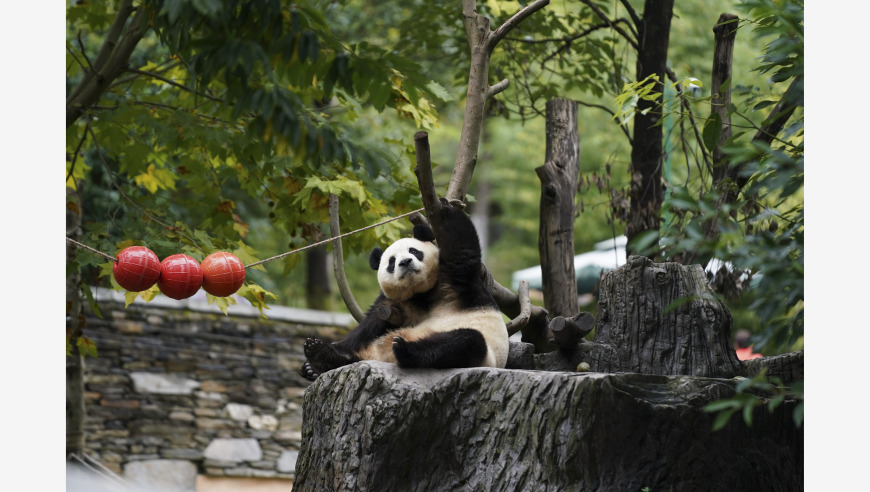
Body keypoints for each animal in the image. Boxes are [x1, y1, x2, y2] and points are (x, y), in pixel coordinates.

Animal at [300, 199, 508, 380]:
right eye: (391, 262)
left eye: (414, 251)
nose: (405, 262)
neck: (422, 293)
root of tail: (380, 358)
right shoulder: (396, 304)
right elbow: (367, 326)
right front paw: (321, 354)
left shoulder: (456, 285)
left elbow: (462, 251)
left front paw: (446, 207)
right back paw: (319, 358)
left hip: (482, 354)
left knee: (464, 342)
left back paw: (405, 350)